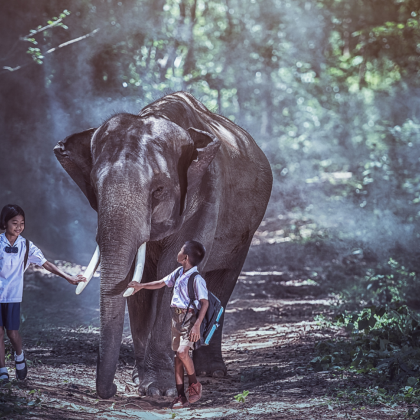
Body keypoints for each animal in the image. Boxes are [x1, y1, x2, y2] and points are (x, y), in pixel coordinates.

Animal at [54, 90, 272, 398]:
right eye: (95, 188)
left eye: (158, 191)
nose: (112, 390)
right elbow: (140, 280)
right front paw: (142, 381)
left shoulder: (208, 192)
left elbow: (172, 271)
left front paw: (160, 391)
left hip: (246, 233)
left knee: (222, 282)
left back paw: (211, 371)